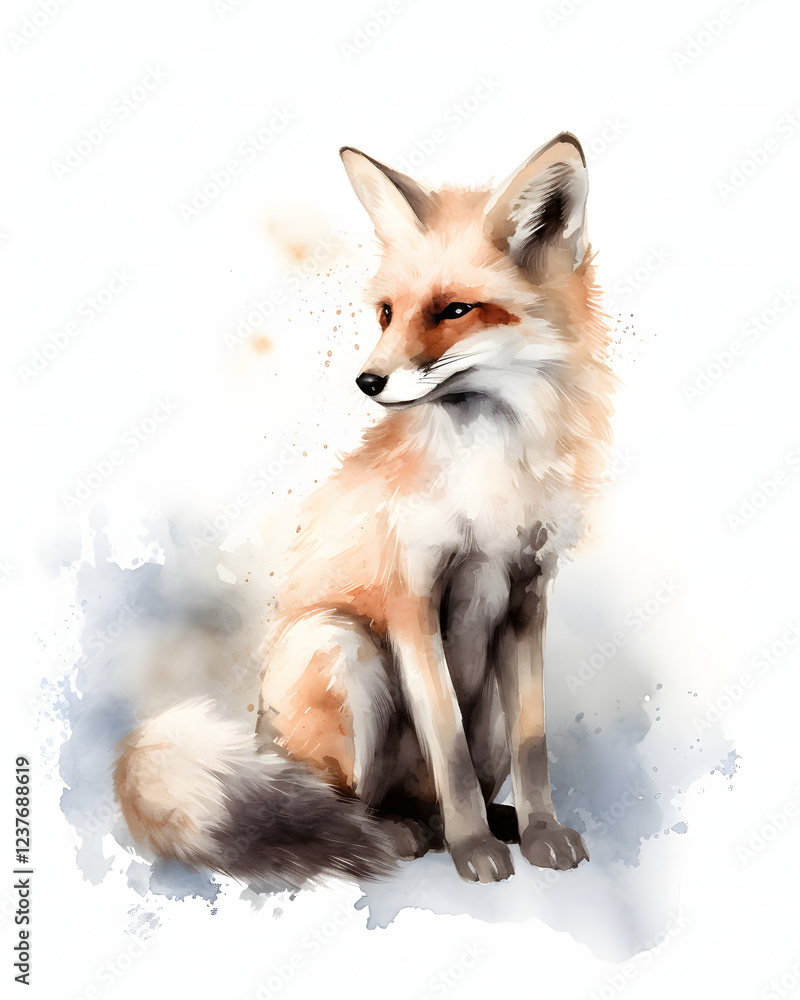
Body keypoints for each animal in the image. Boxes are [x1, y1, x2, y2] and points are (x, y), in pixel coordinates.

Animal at [114, 132, 616, 890]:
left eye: (454, 310)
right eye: (386, 313)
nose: (367, 381)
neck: (492, 478)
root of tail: (262, 741)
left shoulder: (528, 596)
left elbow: (533, 750)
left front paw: (540, 833)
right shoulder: (411, 597)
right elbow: (450, 750)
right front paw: (476, 851)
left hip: (479, 705)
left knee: (442, 789)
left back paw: (468, 825)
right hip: (340, 644)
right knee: (354, 802)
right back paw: (400, 835)